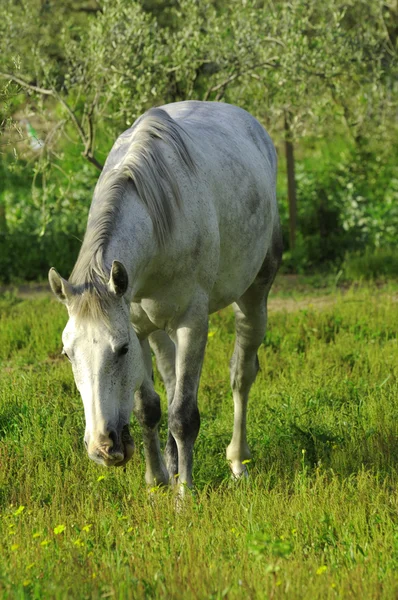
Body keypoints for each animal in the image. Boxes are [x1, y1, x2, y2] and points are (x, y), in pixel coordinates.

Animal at [48, 101, 282, 490]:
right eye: (68, 353)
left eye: (120, 350)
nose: (102, 448)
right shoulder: (140, 328)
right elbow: (149, 408)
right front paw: (157, 481)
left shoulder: (191, 325)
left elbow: (184, 415)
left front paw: (185, 494)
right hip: (160, 330)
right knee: (172, 382)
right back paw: (173, 466)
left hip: (253, 297)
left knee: (241, 374)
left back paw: (237, 461)